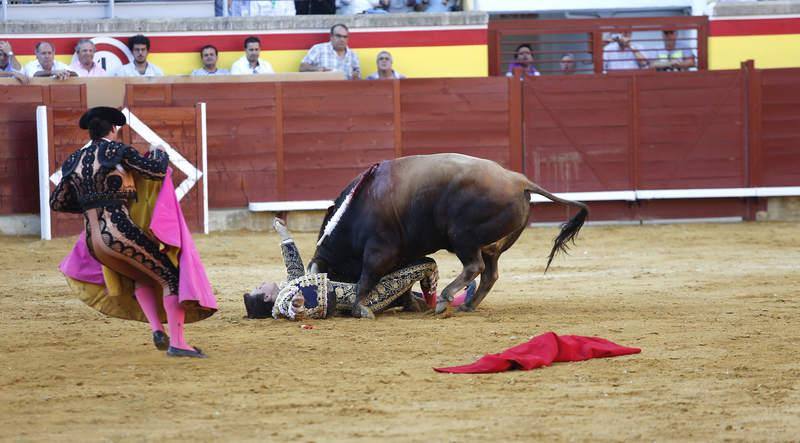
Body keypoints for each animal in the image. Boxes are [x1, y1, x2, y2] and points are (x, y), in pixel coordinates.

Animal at [306, 153, 588, 320]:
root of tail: (519, 181)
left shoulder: (379, 250)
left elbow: (367, 277)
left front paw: (360, 308)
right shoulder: (400, 256)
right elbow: (399, 282)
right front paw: (412, 304)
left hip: (463, 237)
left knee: (475, 267)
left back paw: (444, 299)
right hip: (491, 247)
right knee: (490, 273)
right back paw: (468, 305)